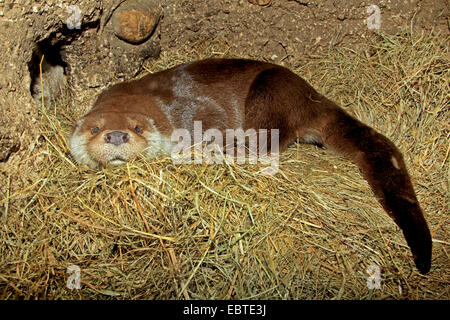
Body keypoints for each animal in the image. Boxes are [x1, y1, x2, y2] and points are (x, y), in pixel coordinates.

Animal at [70, 58, 432, 274]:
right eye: (95, 128)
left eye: (137, 128)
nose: (117, 136)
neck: (157, 106)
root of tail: (310, 97)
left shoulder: (195, 112)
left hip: (268, 93)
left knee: (264, 143)